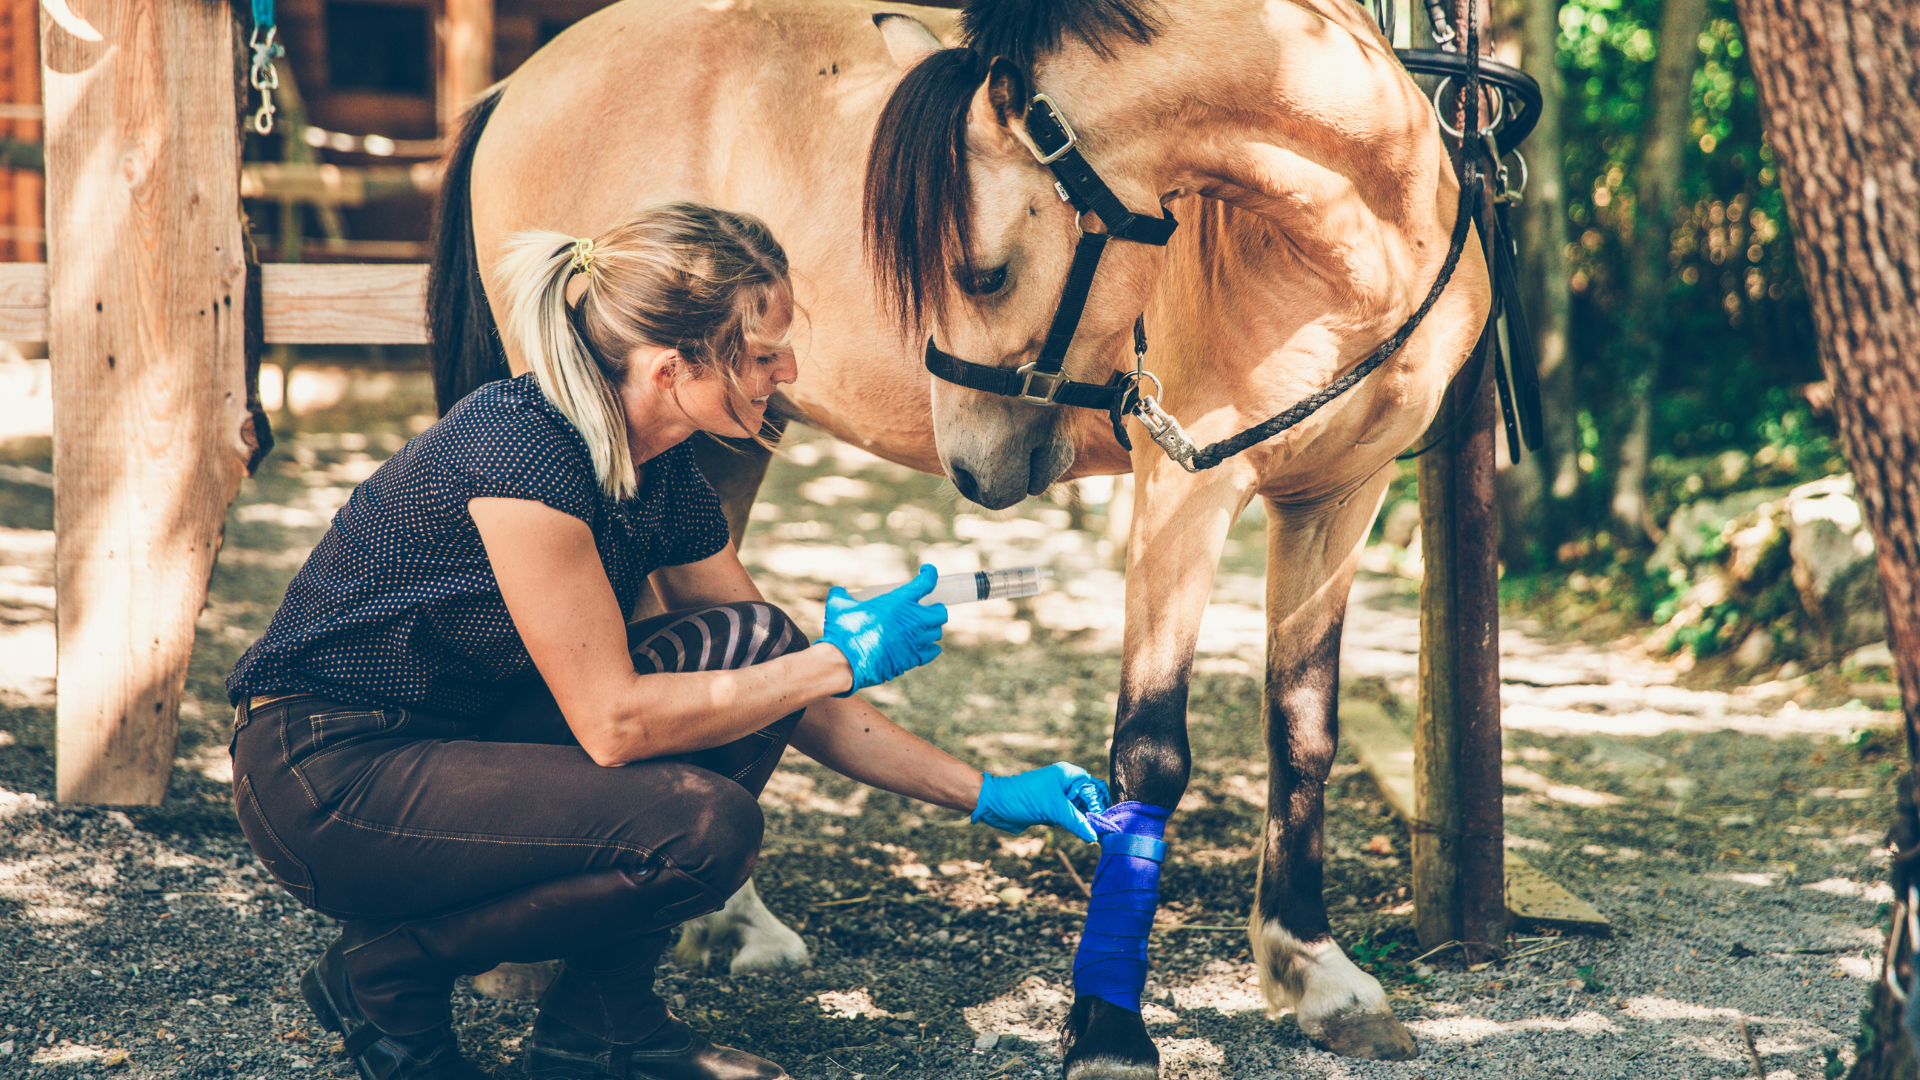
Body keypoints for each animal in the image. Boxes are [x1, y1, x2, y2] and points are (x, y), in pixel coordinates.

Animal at [431, 0, 1491, 1075]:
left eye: (983, 273)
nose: (972, 468)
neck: (1354, 241)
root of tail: (523, 82)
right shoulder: (1186, 491)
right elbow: (1151, 752)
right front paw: (1110, 1025)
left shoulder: (1340, 496)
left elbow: (1304, 730)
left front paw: (1317, 973)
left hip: (716, 445)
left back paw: (731, 924)